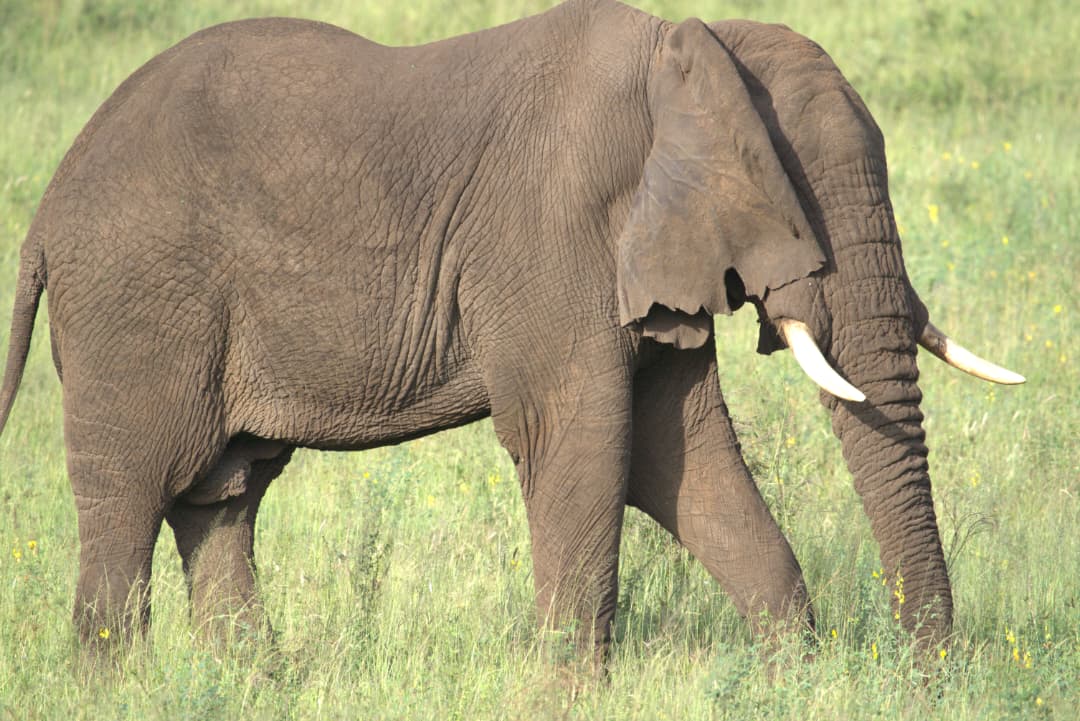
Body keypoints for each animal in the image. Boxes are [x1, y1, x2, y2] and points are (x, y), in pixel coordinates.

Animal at [0, 0, 1023, 656]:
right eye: (801, 208)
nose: (926, 673)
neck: (690, 49)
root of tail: (48, 206)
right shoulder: (554, 233)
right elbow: (582, 442)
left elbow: (679, 453)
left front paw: (792, 676)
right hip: (136, 306)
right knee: (132, 501)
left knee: (221, 501)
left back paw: (248, 682)